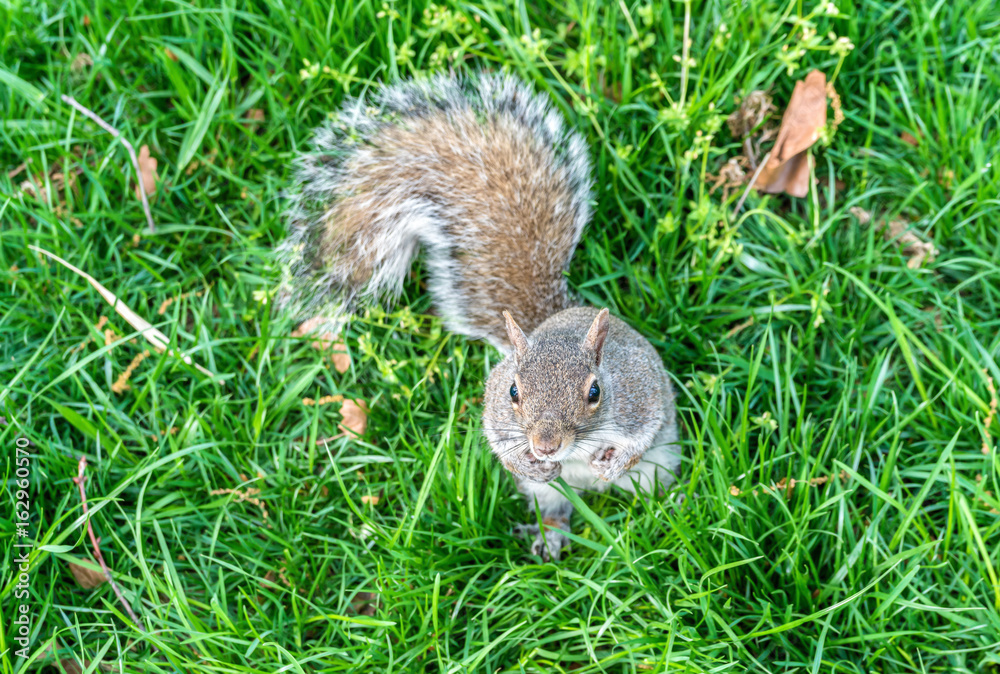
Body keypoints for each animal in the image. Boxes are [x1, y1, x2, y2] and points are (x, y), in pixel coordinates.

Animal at [284, 72, 688, 560]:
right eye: (513, 390)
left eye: (595, 392)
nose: (545, 446)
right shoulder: (497, 413)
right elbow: (499, 443)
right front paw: (528, 463)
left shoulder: (639, 397)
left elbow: (641, 436)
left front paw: (611, 464)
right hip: (549, 497)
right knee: (554, 507)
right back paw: (551, 536)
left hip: (658, 469)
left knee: (655, 489)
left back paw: (673, 508)